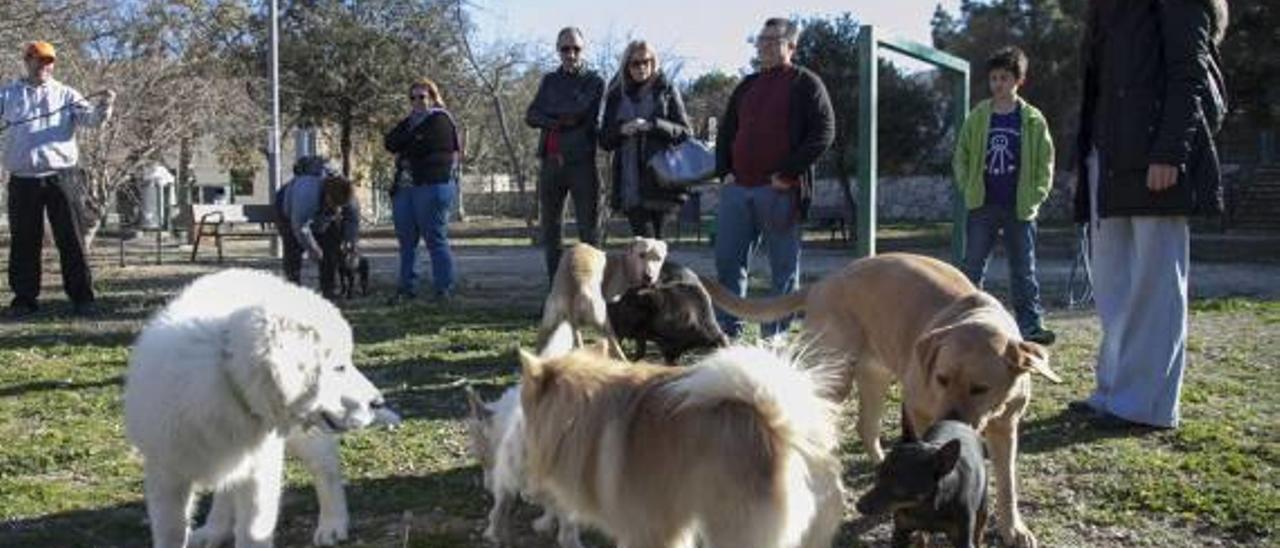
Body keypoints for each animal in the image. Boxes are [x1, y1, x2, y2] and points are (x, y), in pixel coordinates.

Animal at [125, 270, 396, 548]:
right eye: (339, 367)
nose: (377, 402)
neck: (226, 373)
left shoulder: (260, 469)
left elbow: (253, 531)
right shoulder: (166, 474)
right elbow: (171, 532)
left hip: (306, 436)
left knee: (326, 470)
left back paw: (333, 524)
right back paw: (214, 529)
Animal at [535, 238, 665, 358]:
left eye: (658, 258)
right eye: (641, 254)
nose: (649, 277)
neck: (624, 264)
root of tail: (572, 292)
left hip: (548, 322)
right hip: (603, 320)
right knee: (614, 344)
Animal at [860, 419, 988, 548]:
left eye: (899, 485)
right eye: (879, 473)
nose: (858, 505)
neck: (924, 505)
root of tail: (958, 421)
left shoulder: (963, 540)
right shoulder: (901, 532)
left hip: (983, 507)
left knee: (979, 529)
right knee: (922, 535)